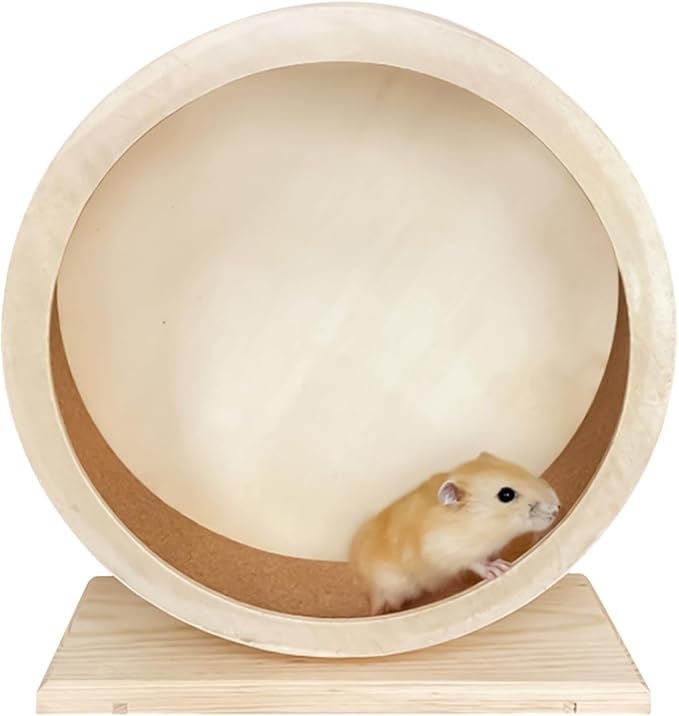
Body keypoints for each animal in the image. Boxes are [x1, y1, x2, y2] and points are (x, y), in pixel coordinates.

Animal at [349, 452, 560, 615]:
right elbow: (476, 563)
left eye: (520, 469)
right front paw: (499, 569)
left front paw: (497, 558)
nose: (557, 507)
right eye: (506, 495)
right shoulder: (449, 552)